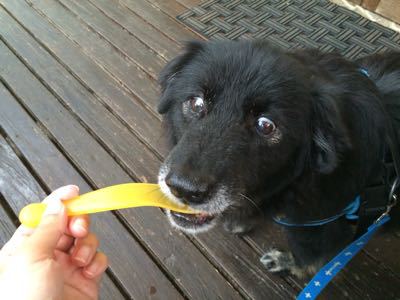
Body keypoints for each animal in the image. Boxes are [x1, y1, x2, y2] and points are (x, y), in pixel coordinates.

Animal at [157, 39, 400, 276]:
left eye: (266, 125)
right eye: (196, 103)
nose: (184, 189)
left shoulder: (323, 230)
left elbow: (309, 261)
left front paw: (284, 261)